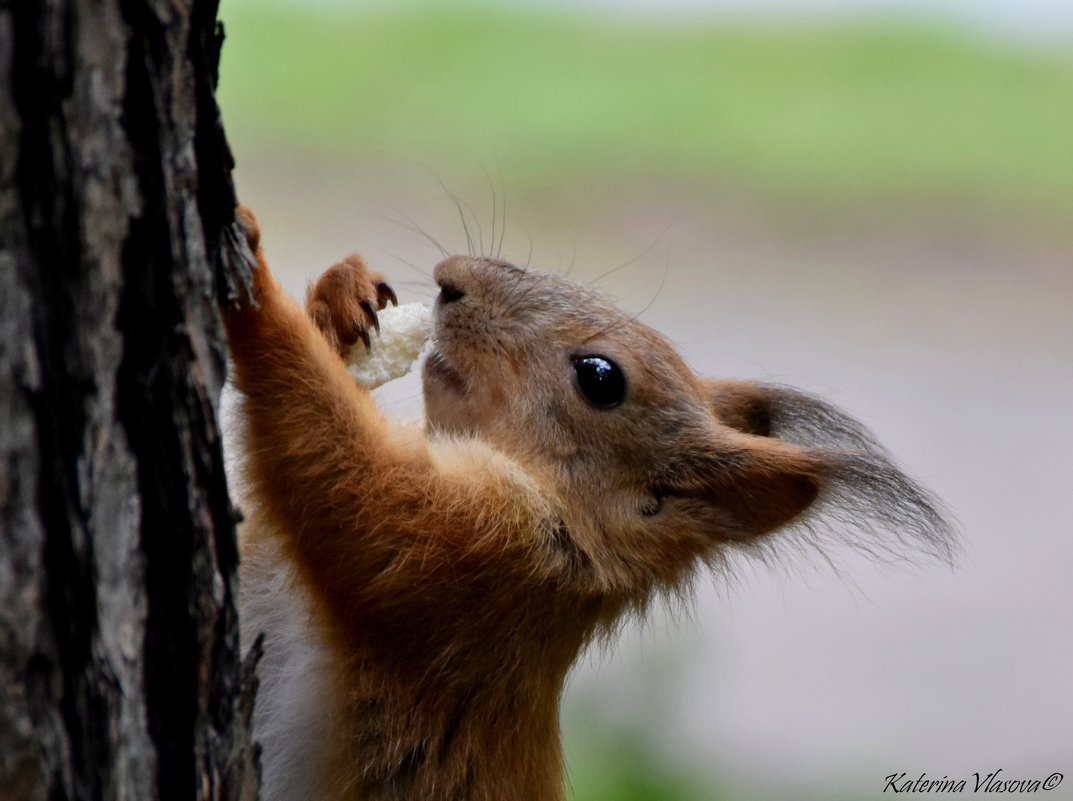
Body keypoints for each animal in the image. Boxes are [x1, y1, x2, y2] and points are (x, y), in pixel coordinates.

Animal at [226, 206, 957, 801]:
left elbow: (345, 479)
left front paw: (254, 284)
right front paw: (340, 297)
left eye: (600, 377)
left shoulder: (477, 564)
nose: (451, 277)